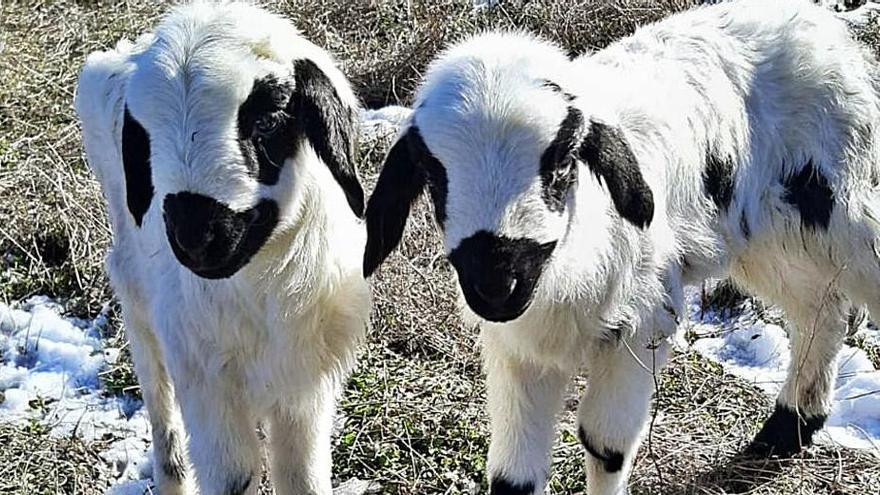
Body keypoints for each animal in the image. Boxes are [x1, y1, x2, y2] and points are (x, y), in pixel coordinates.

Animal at [72, 1, 368, 494]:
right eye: (144, 137)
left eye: (267, 119)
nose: (195, 236)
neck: (259, 293)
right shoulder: (210, 387)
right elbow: (232, 476)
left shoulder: (304, 388)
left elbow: (302, 478)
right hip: (137, 292)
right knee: (158, 397)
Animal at [362, 0, 880, 494]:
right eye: (433, 176)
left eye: (563, 162)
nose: (496, 284)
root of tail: (820, 24)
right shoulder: (518, 349)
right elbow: (513, 474)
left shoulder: (644, 322)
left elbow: (604, 444)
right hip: (767, 240)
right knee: (821, 310)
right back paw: (789, 428)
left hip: (838, 208)